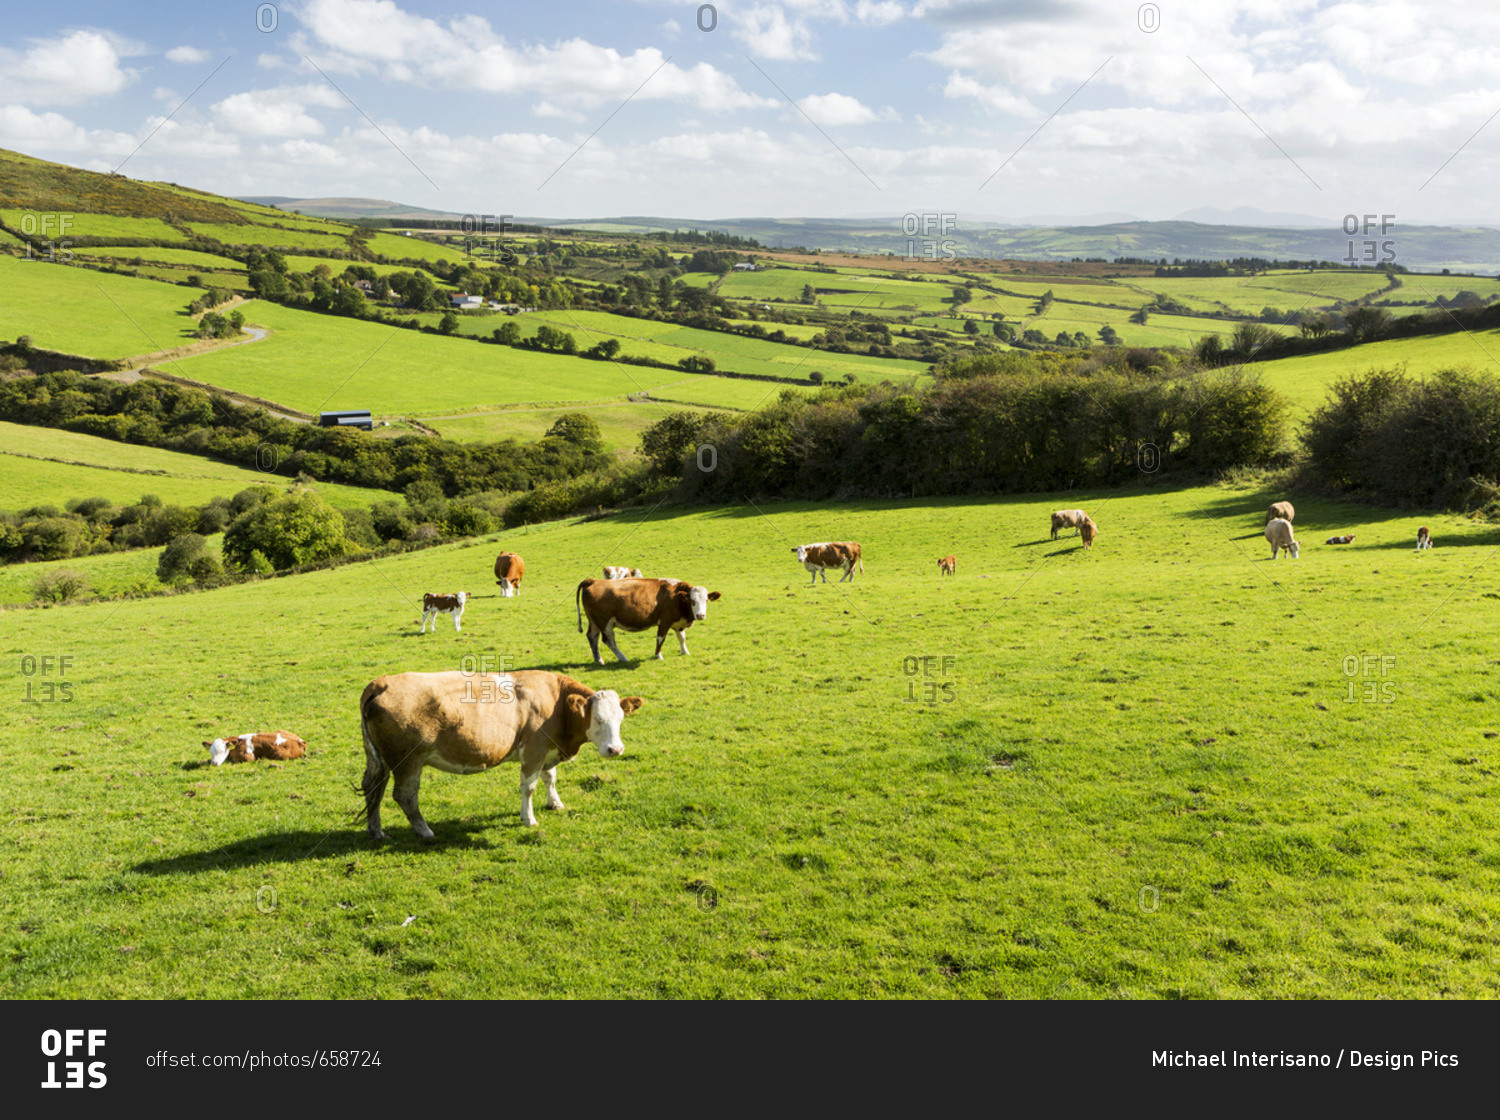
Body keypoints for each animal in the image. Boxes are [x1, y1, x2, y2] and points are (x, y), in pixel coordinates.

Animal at [364, 671, 651, 839]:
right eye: (598, 719)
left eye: (621, 718)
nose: (616, 750)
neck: (556, 701)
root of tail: (381, 683)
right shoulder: (534, 752)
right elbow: (529, 788)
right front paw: (529, 818)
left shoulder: (547, 750)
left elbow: (550, 778)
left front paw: (555, 803)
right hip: (408, 762)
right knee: (405, 796)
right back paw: (424, 830)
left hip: (378, 760)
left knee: (372, 788)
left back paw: (376, 830)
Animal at [573, 578, 720, 665]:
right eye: (692, 601)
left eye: (706, 600)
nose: (700, 615)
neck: (676, 596)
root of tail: (593, 581)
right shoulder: (665, 621)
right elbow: (660, 639)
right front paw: (658, 656)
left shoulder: (678, 623)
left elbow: (681, 638)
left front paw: (685, 652)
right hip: (605, 622)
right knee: (609, 640)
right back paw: (623, 658)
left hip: (594, 621)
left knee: (592, 636)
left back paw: (598, 659)